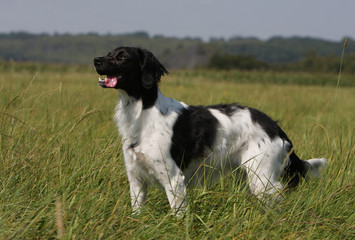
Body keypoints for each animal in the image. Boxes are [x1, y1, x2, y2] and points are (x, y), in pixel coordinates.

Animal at [94, 46, 328, 214]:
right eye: (109, 53)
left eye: (122, 56)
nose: (96, 60)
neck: (143, 112)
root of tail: (276, 126)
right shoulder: (136, 179)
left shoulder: (173, 178)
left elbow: (178, 213)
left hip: (262, 177)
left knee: (276, 198)